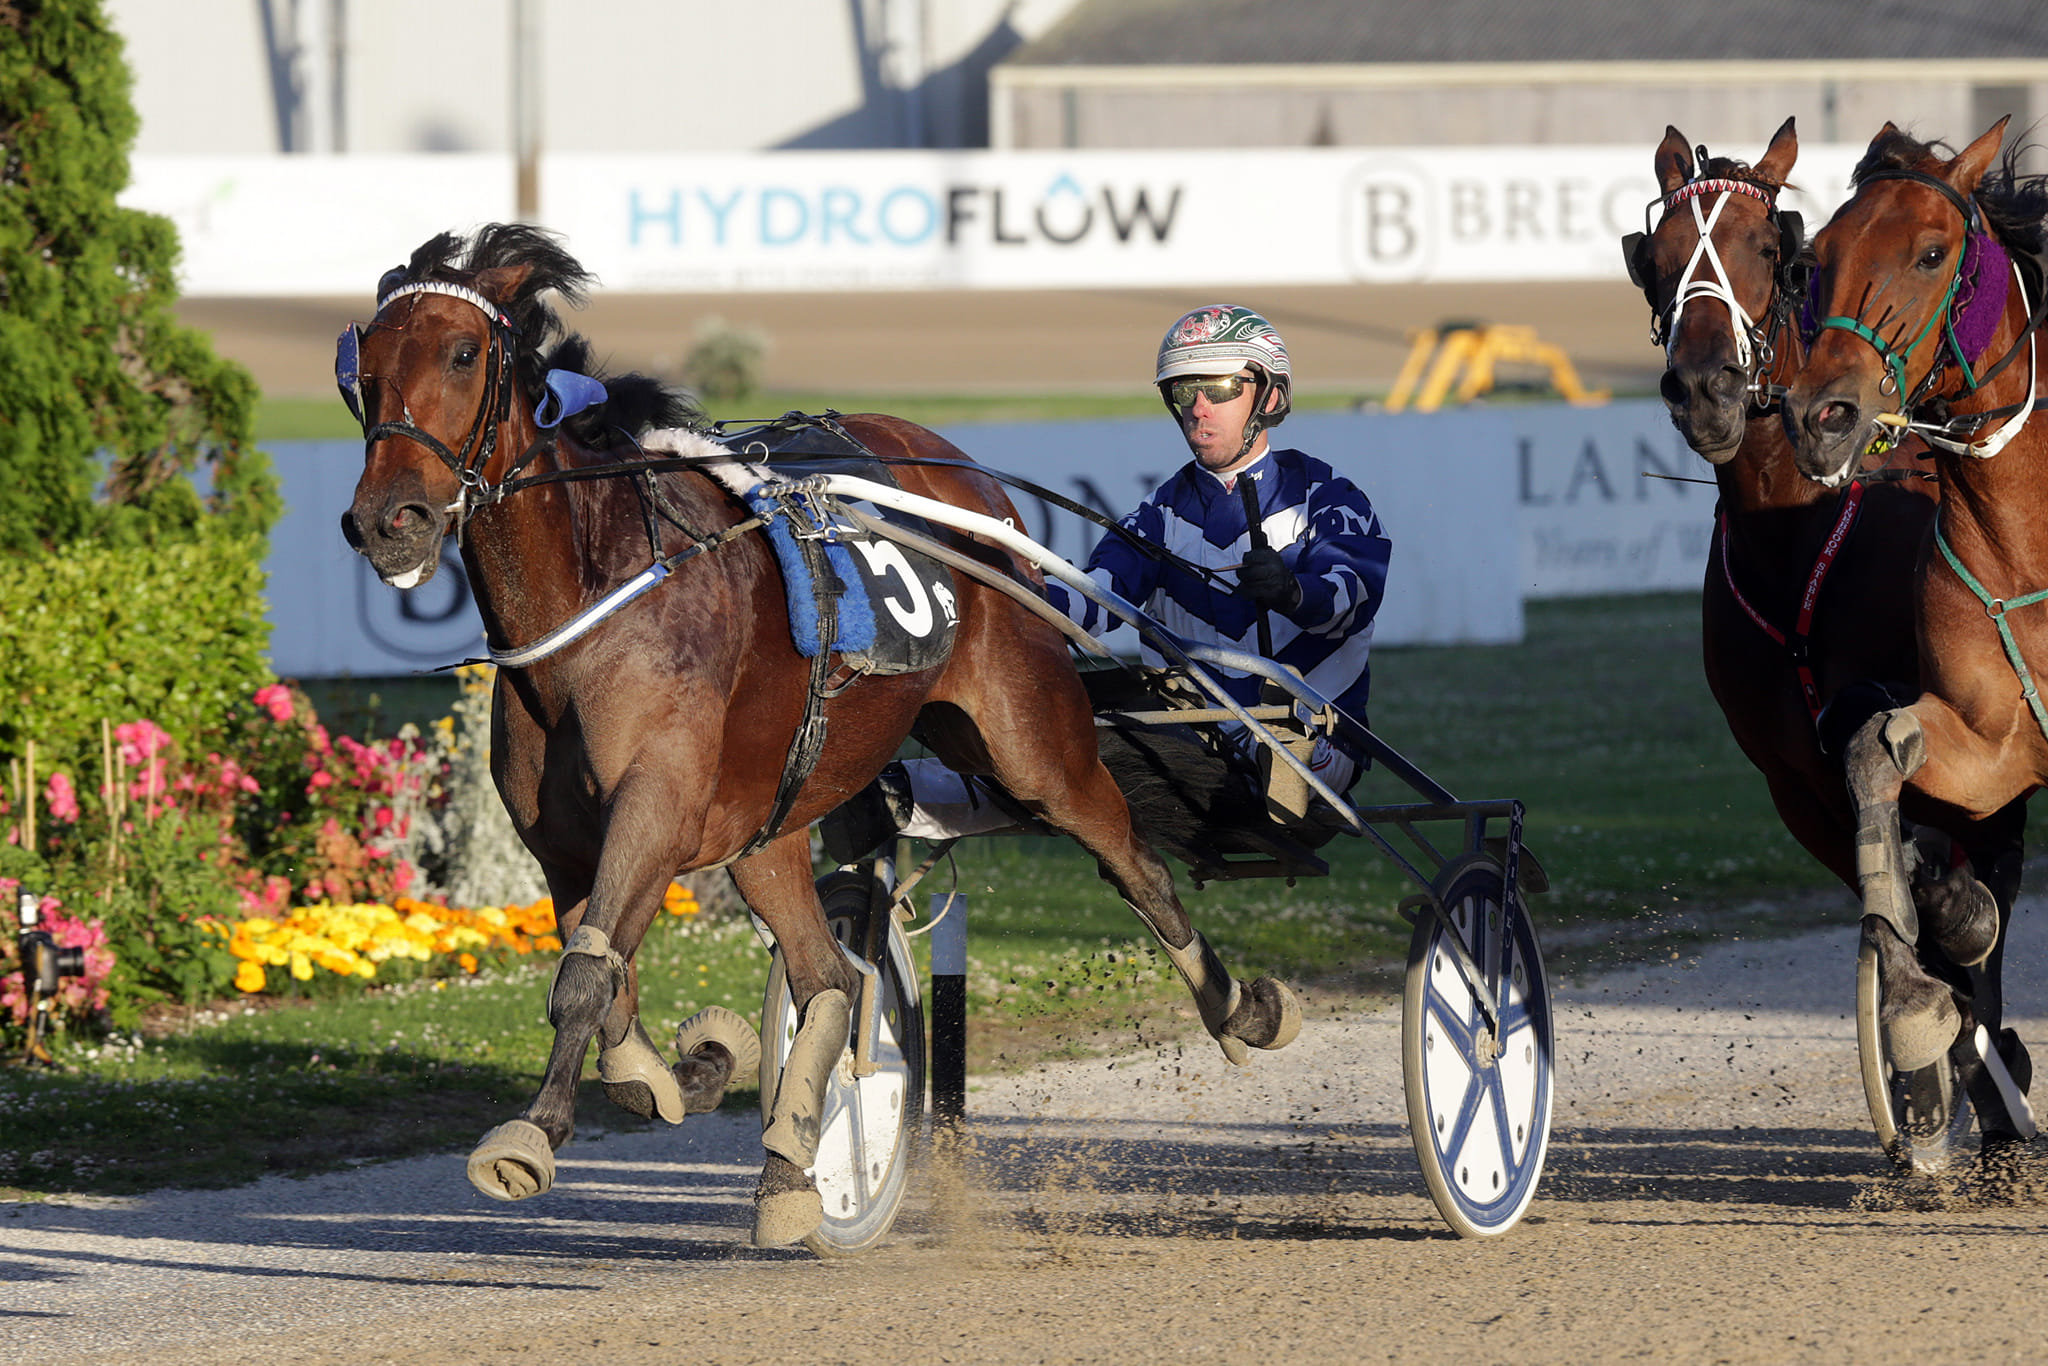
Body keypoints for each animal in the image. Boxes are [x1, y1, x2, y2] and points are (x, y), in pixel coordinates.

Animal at [335, 224, 1303, 1246]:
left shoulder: (655, 806)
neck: (596, 598)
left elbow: (586, 981)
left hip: (1031, 739)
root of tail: (965, 476)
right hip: (777, 818)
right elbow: (611, 990)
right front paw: (691, 1069)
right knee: (830, 975)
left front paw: (527, 1137)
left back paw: (1240, 1010)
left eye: (463, 353)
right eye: (362, 369)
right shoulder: (564, 841)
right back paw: (794, 1171)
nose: (388, 520)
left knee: (1129, 858)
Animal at [1781, 119, 2046, 1133]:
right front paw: (1915, 998)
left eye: (1932, 253)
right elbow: (1872, 752)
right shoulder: (1993, 744)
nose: (1822, 416)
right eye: (1815, 258)